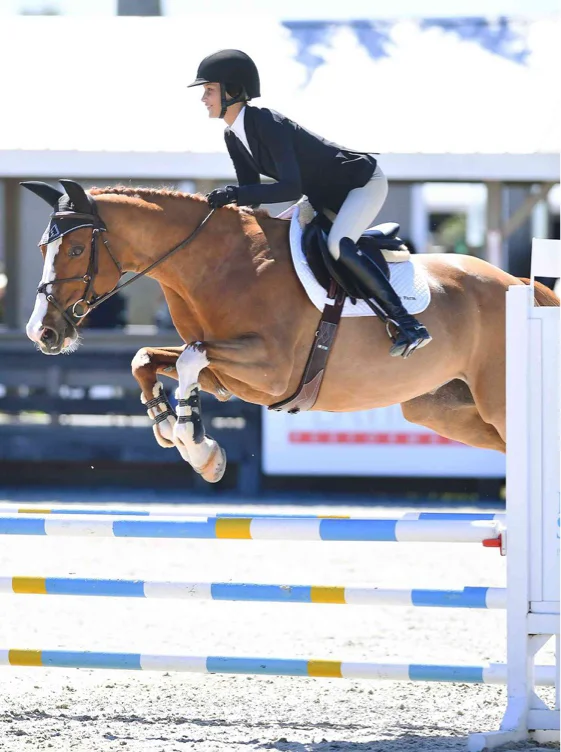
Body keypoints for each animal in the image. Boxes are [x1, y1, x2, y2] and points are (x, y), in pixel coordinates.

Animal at [21, 179, 558, 483]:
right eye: (43, 247)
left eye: (75, 250)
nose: (41, 333)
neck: (216, 264)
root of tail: (519, 284)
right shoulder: (231, 373)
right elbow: (148, 360)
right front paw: (177, 433)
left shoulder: (272, 370)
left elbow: (191, 358)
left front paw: (197, 444)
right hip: (445, 410)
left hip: (499, 405)